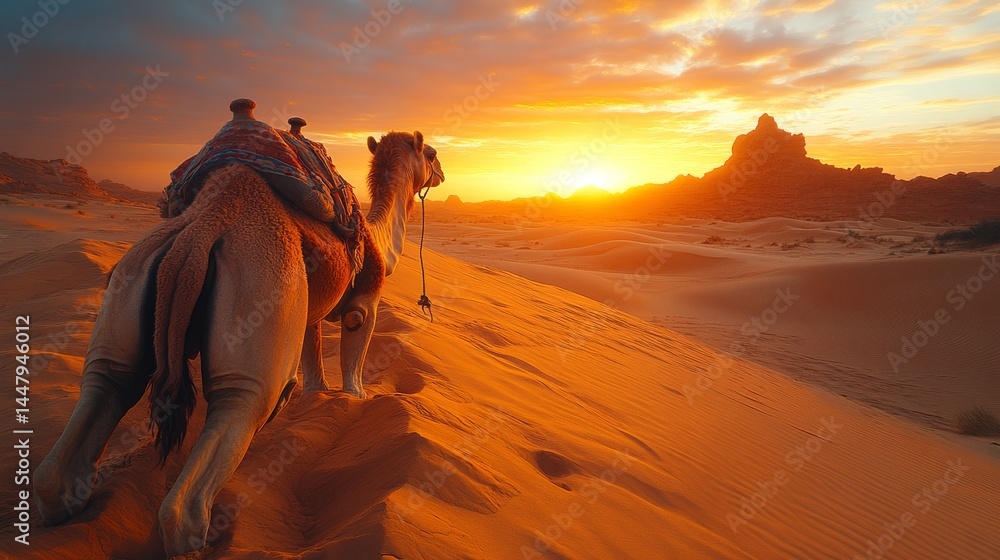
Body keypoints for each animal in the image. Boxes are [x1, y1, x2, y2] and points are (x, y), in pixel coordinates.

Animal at [33, 100, 444, 557]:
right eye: (430, 154)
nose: (442, 172)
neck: (377, 236)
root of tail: (200, 231)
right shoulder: (365, 301)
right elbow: (353, 366)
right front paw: (357, 397)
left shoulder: (310, 310)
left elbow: (313, 365)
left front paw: (318, 396)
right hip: (259, 305)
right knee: (239, 408)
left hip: (130, 282)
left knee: (107, 384)